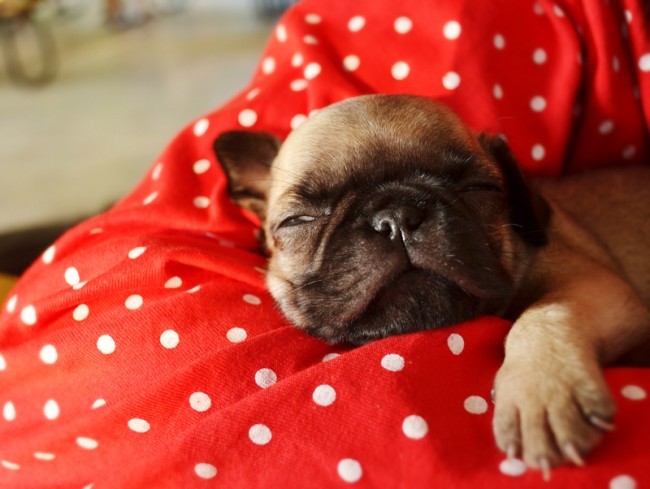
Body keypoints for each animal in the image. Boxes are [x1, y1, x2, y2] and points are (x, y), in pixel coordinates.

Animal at [214, 94, 648, 476]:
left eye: (481, 189)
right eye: (297, 221)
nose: (396, 218)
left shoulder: (598, 286)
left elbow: (544, 314)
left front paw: (542, 390)